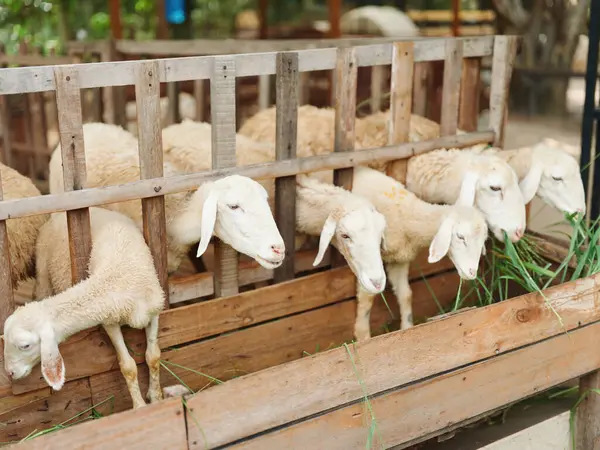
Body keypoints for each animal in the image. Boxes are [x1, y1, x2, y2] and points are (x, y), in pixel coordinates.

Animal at [4, 207, 166, 408]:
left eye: (25, 345)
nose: (9, 372)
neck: (119, 279)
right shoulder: (110, 322)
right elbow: (128, 366)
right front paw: (139, 406)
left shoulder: (154, 311)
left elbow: (153, 356)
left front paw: (156, 397)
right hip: (42, 271)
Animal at [352, 167, 488, 340]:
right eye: (460, 236)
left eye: (483, 239)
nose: (472, 272)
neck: (404, 213)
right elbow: (367, 297)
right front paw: (363, 336)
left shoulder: (399, 260)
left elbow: (406, 295)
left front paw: (407, 328)